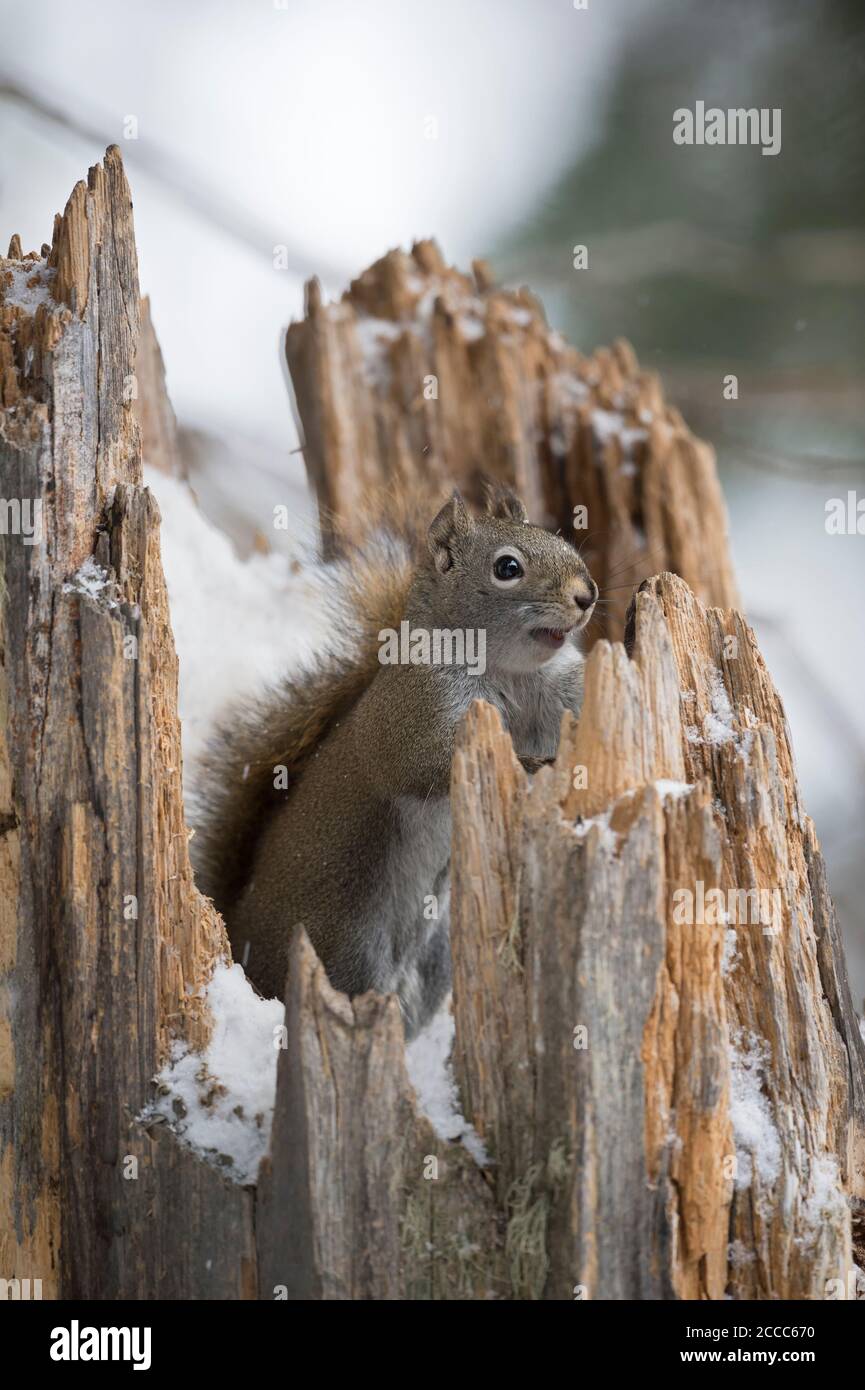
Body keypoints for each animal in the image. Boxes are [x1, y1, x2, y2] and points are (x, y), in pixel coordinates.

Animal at [192, 483, 597, 1039]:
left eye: (560, 541)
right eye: (507, 567)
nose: (587, 596)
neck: (507, 673)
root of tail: (242, 935)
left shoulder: (553, 693)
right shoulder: (414, 713)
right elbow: (424, 766)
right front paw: (530, 765)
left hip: (433, 958)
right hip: (342, 941)